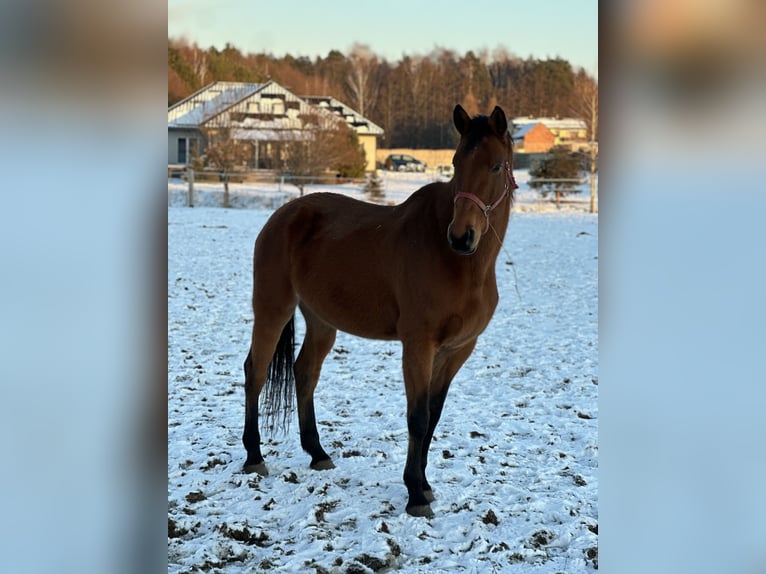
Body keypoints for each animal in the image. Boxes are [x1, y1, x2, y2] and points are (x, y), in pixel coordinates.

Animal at [243, 106, 520, 520]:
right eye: (457, 163)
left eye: (497, 165)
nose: (461, 236)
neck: (460, 265)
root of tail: (284, 214)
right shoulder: (418, 346)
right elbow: (417, 418)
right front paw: (415, 494)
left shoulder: (457, 350)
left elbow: (433, 416)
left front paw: (425, 485)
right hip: (272, 308)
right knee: (255, 372)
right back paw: (254, 457)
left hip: (322, 322)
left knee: (304, 373)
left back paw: (318, 453)